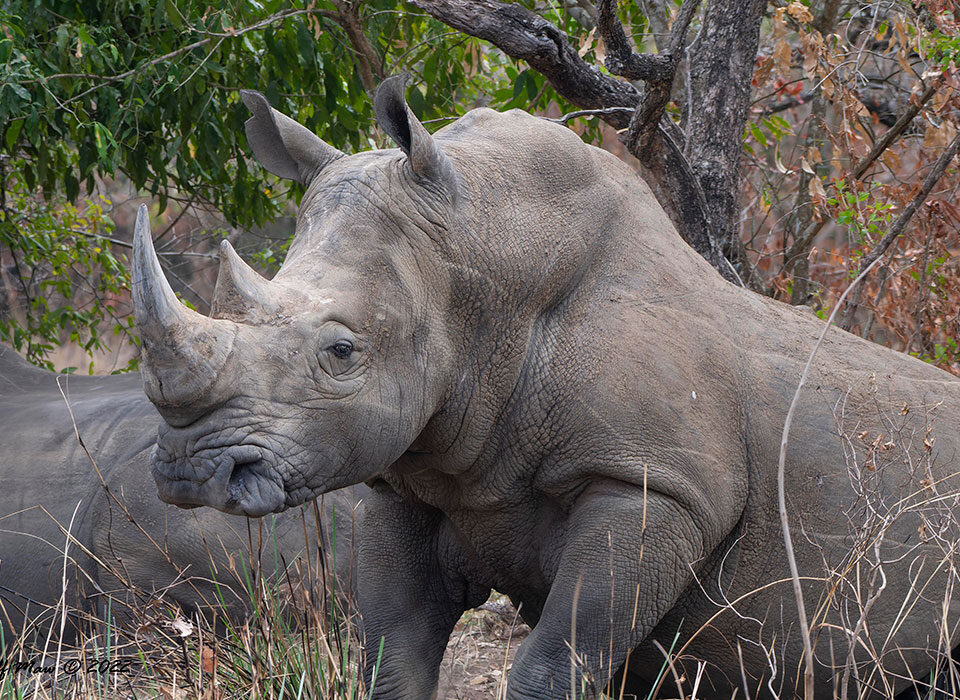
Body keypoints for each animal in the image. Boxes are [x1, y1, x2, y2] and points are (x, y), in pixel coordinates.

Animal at [130, 75, 960, 699]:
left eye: (341, 351)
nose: (188, 471)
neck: (480, 270)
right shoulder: (409, 484)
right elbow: (394, 662)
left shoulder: (656, 485)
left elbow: (554, 665)